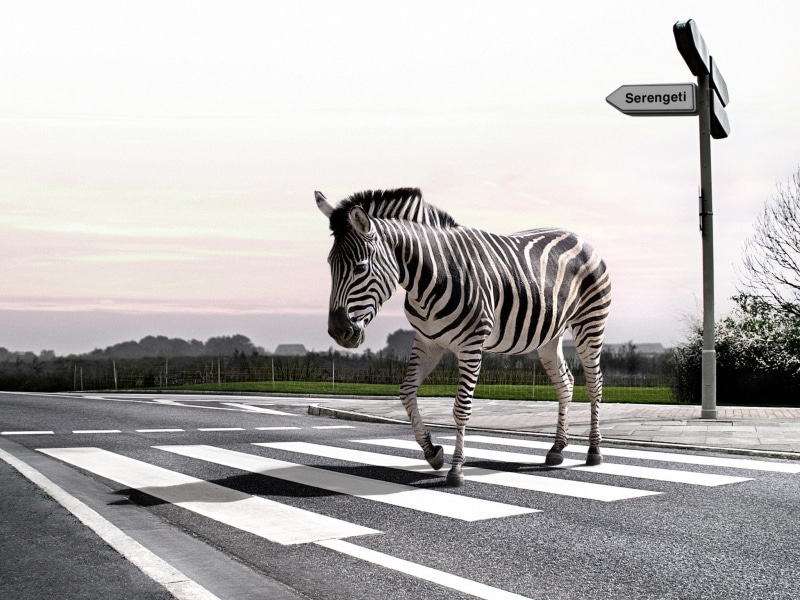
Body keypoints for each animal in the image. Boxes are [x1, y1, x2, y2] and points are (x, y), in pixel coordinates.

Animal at [316, 188, 611, 486]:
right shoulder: (427, 342)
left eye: (359, 267)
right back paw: (557, 448)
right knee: (566, 383)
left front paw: (456, 469)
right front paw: (433, 452)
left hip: (590, 323)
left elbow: (461, 408)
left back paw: (594, 450)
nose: (338, 331)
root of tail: (579, 237)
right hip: (549, 336)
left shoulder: (471, 345)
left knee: (595, 383)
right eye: (329, 264)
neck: (430, 278)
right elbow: (406, 393)